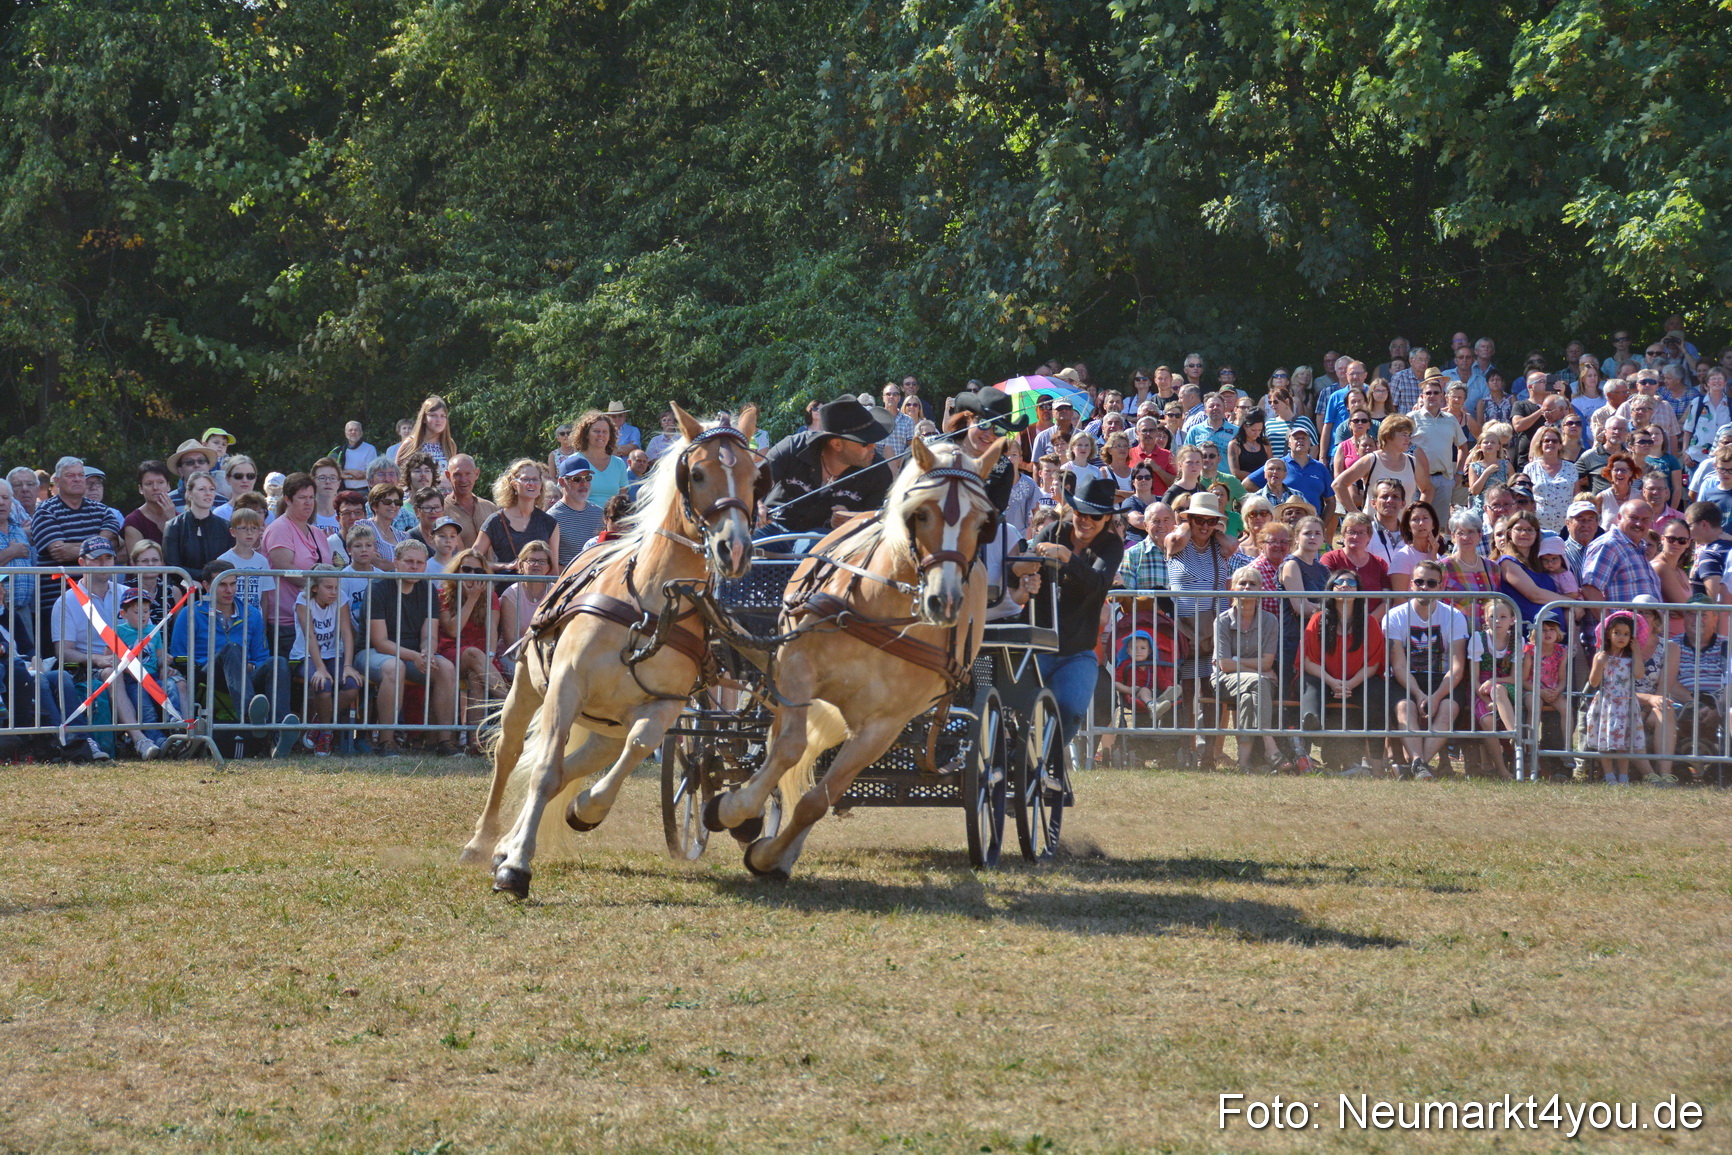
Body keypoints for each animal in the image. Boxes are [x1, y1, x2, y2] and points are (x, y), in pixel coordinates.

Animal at [460, 403, 760, 898]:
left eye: (756, 477)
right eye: (697, 473)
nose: (732, 549)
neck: (651, 605)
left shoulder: (664, 706)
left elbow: (634, 749)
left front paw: (584, 810)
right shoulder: (565, 685)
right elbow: (543, 771)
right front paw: (516, 868)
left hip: (606, 727)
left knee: (577, 762)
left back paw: (509, 840)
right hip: (529, 687)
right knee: (510, 753)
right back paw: (484, 842)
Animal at [703, 434, 1005, 879]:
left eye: (984, 524)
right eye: (920, 514)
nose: (944, 601)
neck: (884, 610)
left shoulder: (884, 726)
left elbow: (819, 798)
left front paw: (769, 855)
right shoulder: (796, 671)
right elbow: (788, 749)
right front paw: (735, 811)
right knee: (779, 745)